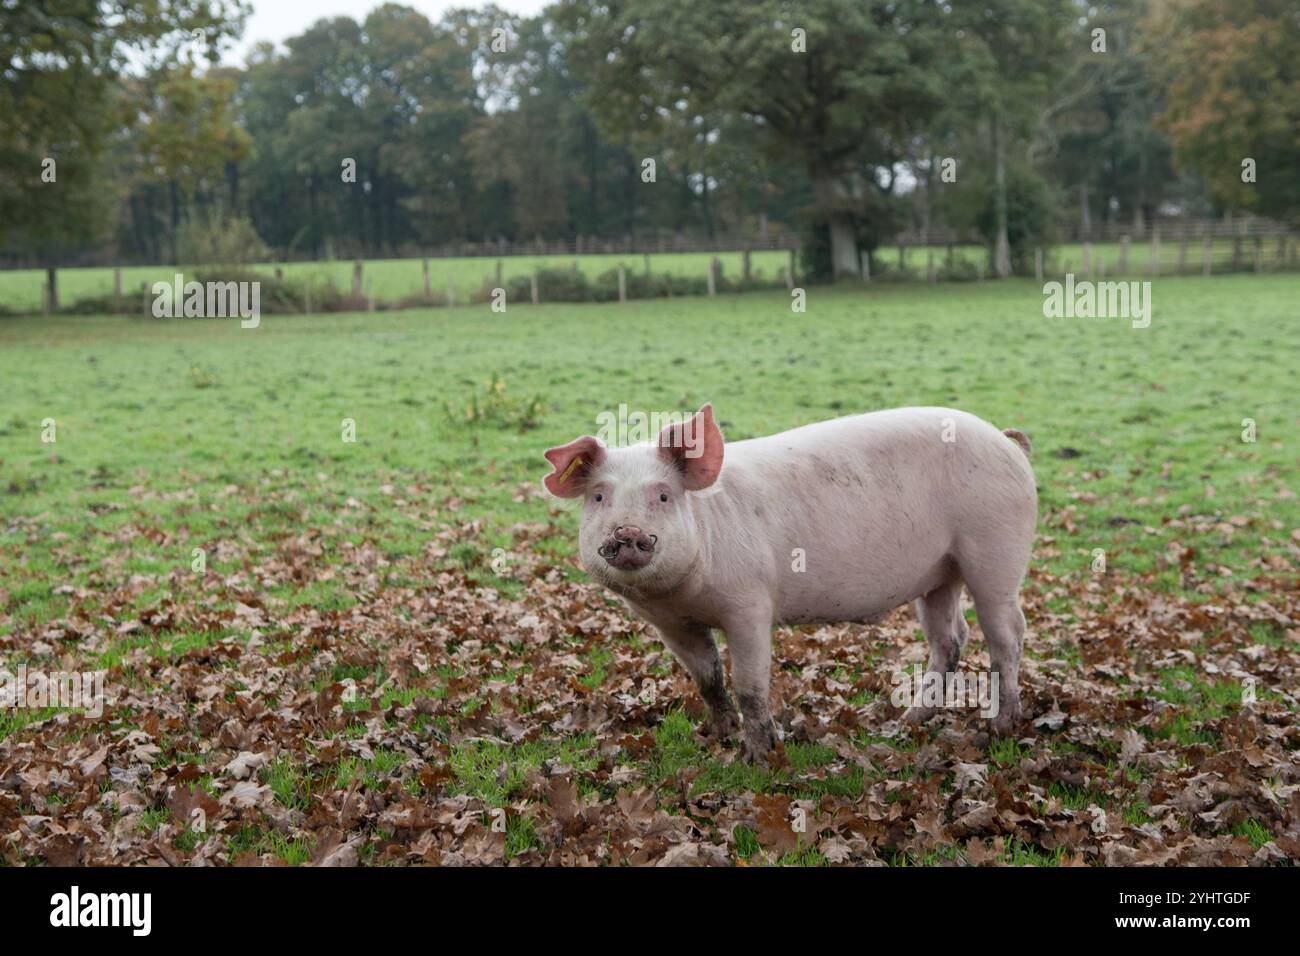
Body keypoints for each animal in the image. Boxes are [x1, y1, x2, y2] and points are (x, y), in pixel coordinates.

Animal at [543, 403, 1040, 764]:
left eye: (663, 496)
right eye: (599, 497)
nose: (627, 532)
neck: (681, 596)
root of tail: (1008, 443)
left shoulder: (750, 605)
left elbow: (749, 684)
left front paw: (758, 757)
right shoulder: (669, 623)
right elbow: (707, 678)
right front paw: (716, 736)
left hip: (994, 553)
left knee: (1007, 633)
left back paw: (999, 727)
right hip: (940, 573)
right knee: (951, 637)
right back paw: (910, 720)